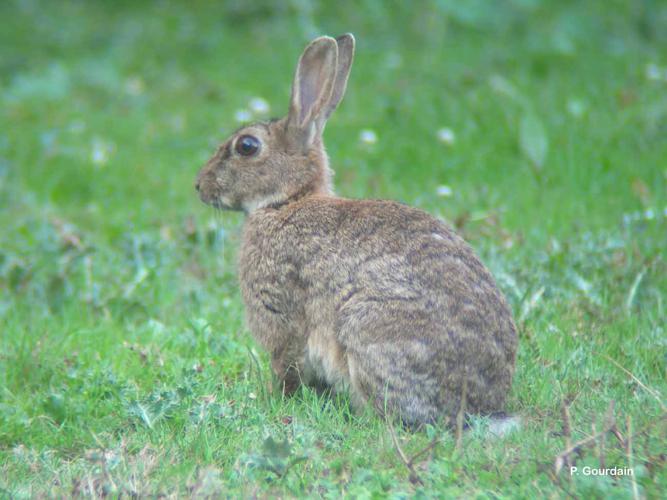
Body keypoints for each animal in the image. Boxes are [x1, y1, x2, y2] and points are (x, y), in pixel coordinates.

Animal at [196, 34, 520, 426]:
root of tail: (480, 406)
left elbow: (287, 366)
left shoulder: (282, 319)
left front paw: (279, 400)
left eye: (246, 146)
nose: (199, 186)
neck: (287, 202)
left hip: (365, 329)